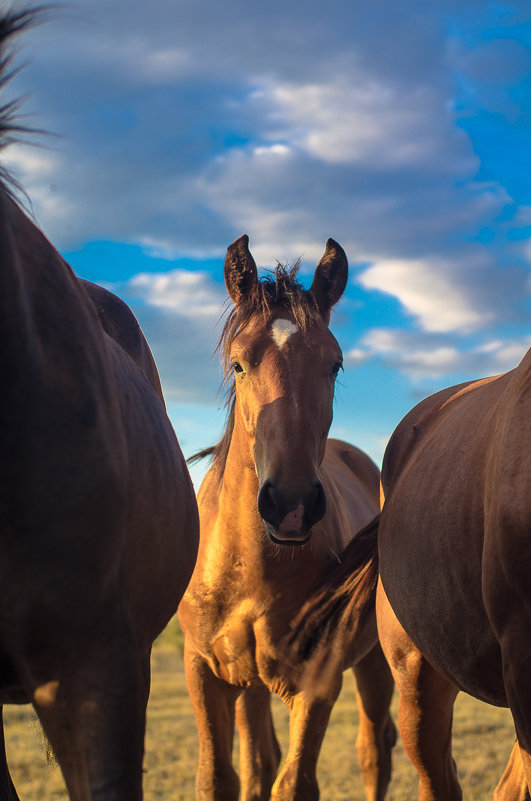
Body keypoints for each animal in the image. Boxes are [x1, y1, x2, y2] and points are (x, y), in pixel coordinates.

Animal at [179, 234, 394, 800]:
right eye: (238, 363)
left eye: (334, 364)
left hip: (374, 663)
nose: (291, 503)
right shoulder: (203, 672)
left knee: (374, 751)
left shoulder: (317, 684)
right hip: (249, 685)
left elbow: (293, 783)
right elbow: (221, 777)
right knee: (259, 759)